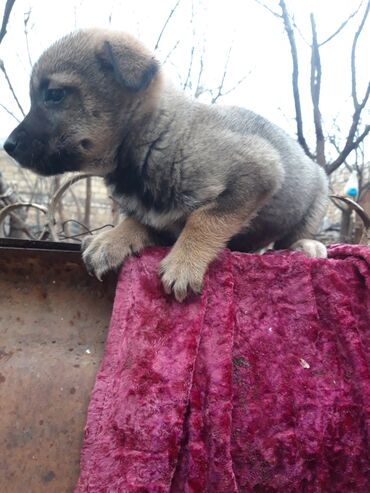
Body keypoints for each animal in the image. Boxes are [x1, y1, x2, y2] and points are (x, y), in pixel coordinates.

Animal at [2, 30, 326, 302]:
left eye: (54, 95)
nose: (8, 146)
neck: (156, 137)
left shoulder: (259, 171)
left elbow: (204, 219)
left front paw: (184, 262)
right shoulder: (158, 217)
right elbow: (138, 220)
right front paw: (112, 239)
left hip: (315, 200)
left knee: (293, 236)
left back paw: (306, 246)